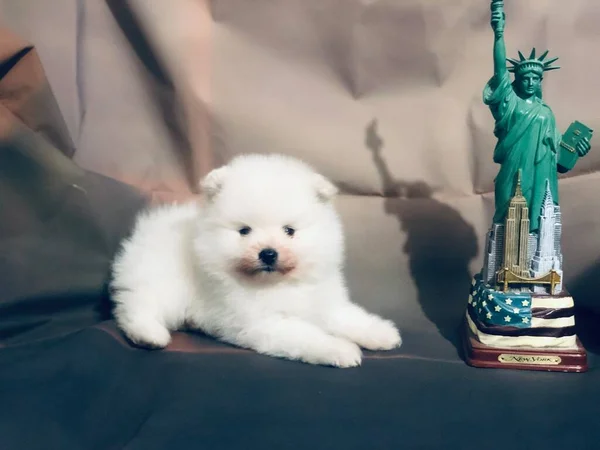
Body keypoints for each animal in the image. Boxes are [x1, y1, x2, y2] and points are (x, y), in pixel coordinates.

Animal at [111, 153, 404, 368]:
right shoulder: (262, 323)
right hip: (164, 282)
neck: (281, 285)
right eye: (244, 231)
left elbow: (347, 316)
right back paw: (149, 334)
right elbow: (307, 335)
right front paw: (340, 348)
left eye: (289, 231)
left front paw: (381, 333)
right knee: (137, 304)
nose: (268, 253)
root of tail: (149, 227)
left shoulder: (322, 302)